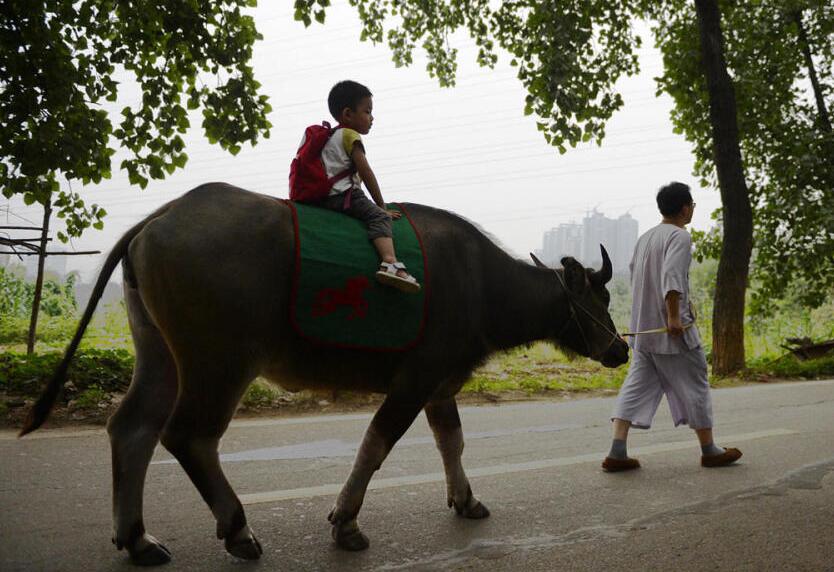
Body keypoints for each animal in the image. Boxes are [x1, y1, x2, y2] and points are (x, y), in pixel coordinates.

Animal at [19, 182, 628, 564]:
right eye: (597, 300)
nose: (622, 349)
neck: (481, 284)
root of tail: (161, 217)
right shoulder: (414, 381)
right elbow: (376, 444)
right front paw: (346, 522)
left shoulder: (439, 386)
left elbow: (450, 443)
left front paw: (466, 500)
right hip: (221, 361)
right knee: (189, 435)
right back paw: (237, 530)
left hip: (159, 353)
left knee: (133, 428)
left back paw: (138, 539)